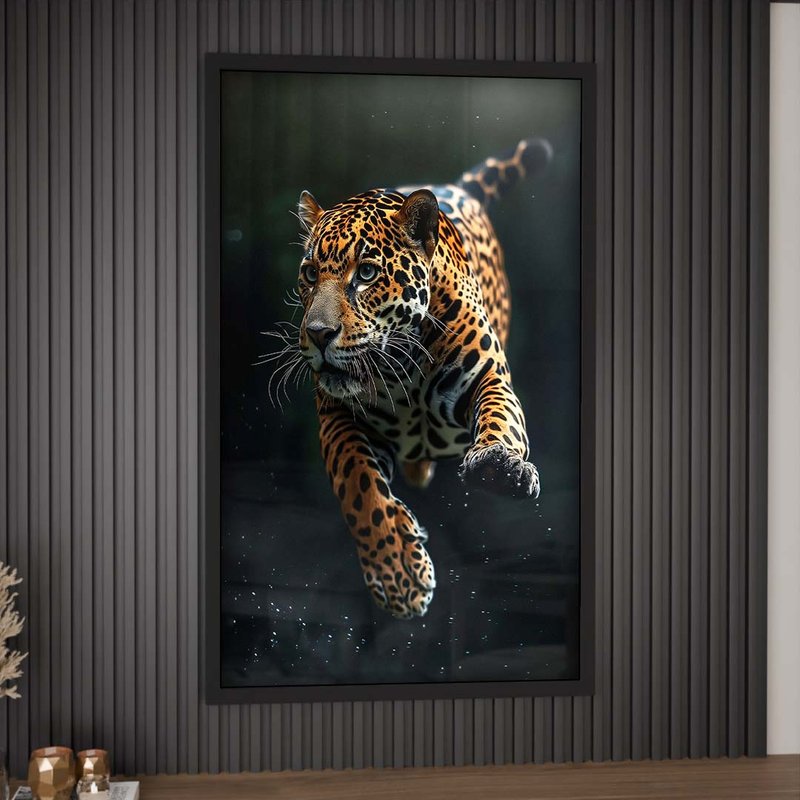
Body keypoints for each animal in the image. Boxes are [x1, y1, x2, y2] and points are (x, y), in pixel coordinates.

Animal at [287, 138, 552, 619]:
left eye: (366, 273)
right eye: (311, 274)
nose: (317, 334)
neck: (402, 365)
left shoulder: (489, 376)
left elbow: (501, 420)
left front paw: (498, 467)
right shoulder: (337, 418)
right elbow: (359, 488)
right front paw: (399, 574)